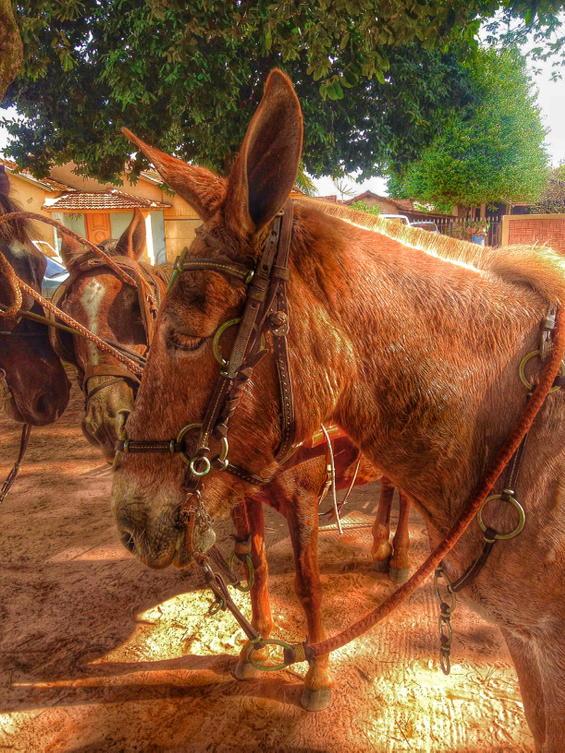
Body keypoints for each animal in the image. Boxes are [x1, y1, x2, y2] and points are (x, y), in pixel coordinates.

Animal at [111, 70, 565, 748]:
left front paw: (315, 677)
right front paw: (258, 649)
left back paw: (394, 553)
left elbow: (306, 586)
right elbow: (262, 572)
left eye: (188, 334)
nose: (130, 525)